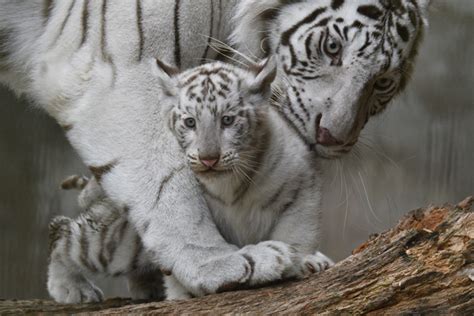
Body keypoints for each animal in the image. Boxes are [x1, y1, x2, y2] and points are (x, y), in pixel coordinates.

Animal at [46, 58, 332, 302]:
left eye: (227, 120)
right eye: (190, 122)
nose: (208, 158)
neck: (230, 185)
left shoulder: (302, 185)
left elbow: (296, 234)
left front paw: (300, 261)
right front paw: (181, 295)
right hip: (118, 243)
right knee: (65, 239)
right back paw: (71, 287)